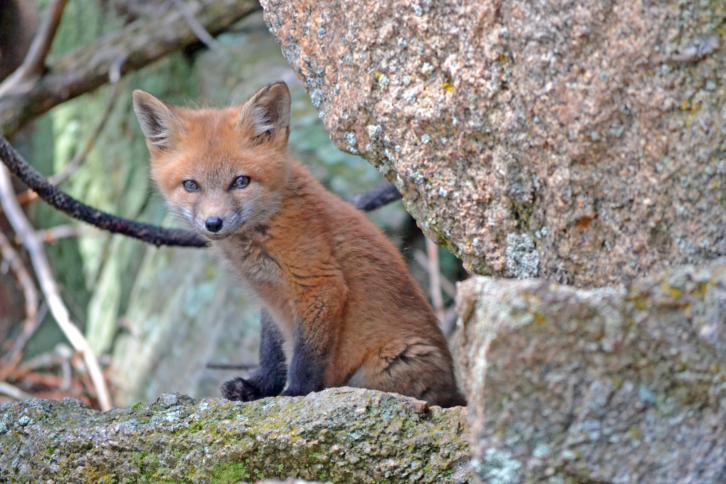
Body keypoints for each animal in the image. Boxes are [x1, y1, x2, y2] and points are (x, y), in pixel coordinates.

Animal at [132, 82, 465, 407]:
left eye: (241, 181)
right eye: (191, 185)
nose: (214, 223)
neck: (265, 229)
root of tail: (454, 388)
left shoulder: (318, 284)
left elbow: (306, 358)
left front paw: (295, 395)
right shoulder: (270, 298)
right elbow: (272, 352)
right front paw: (258, 388)